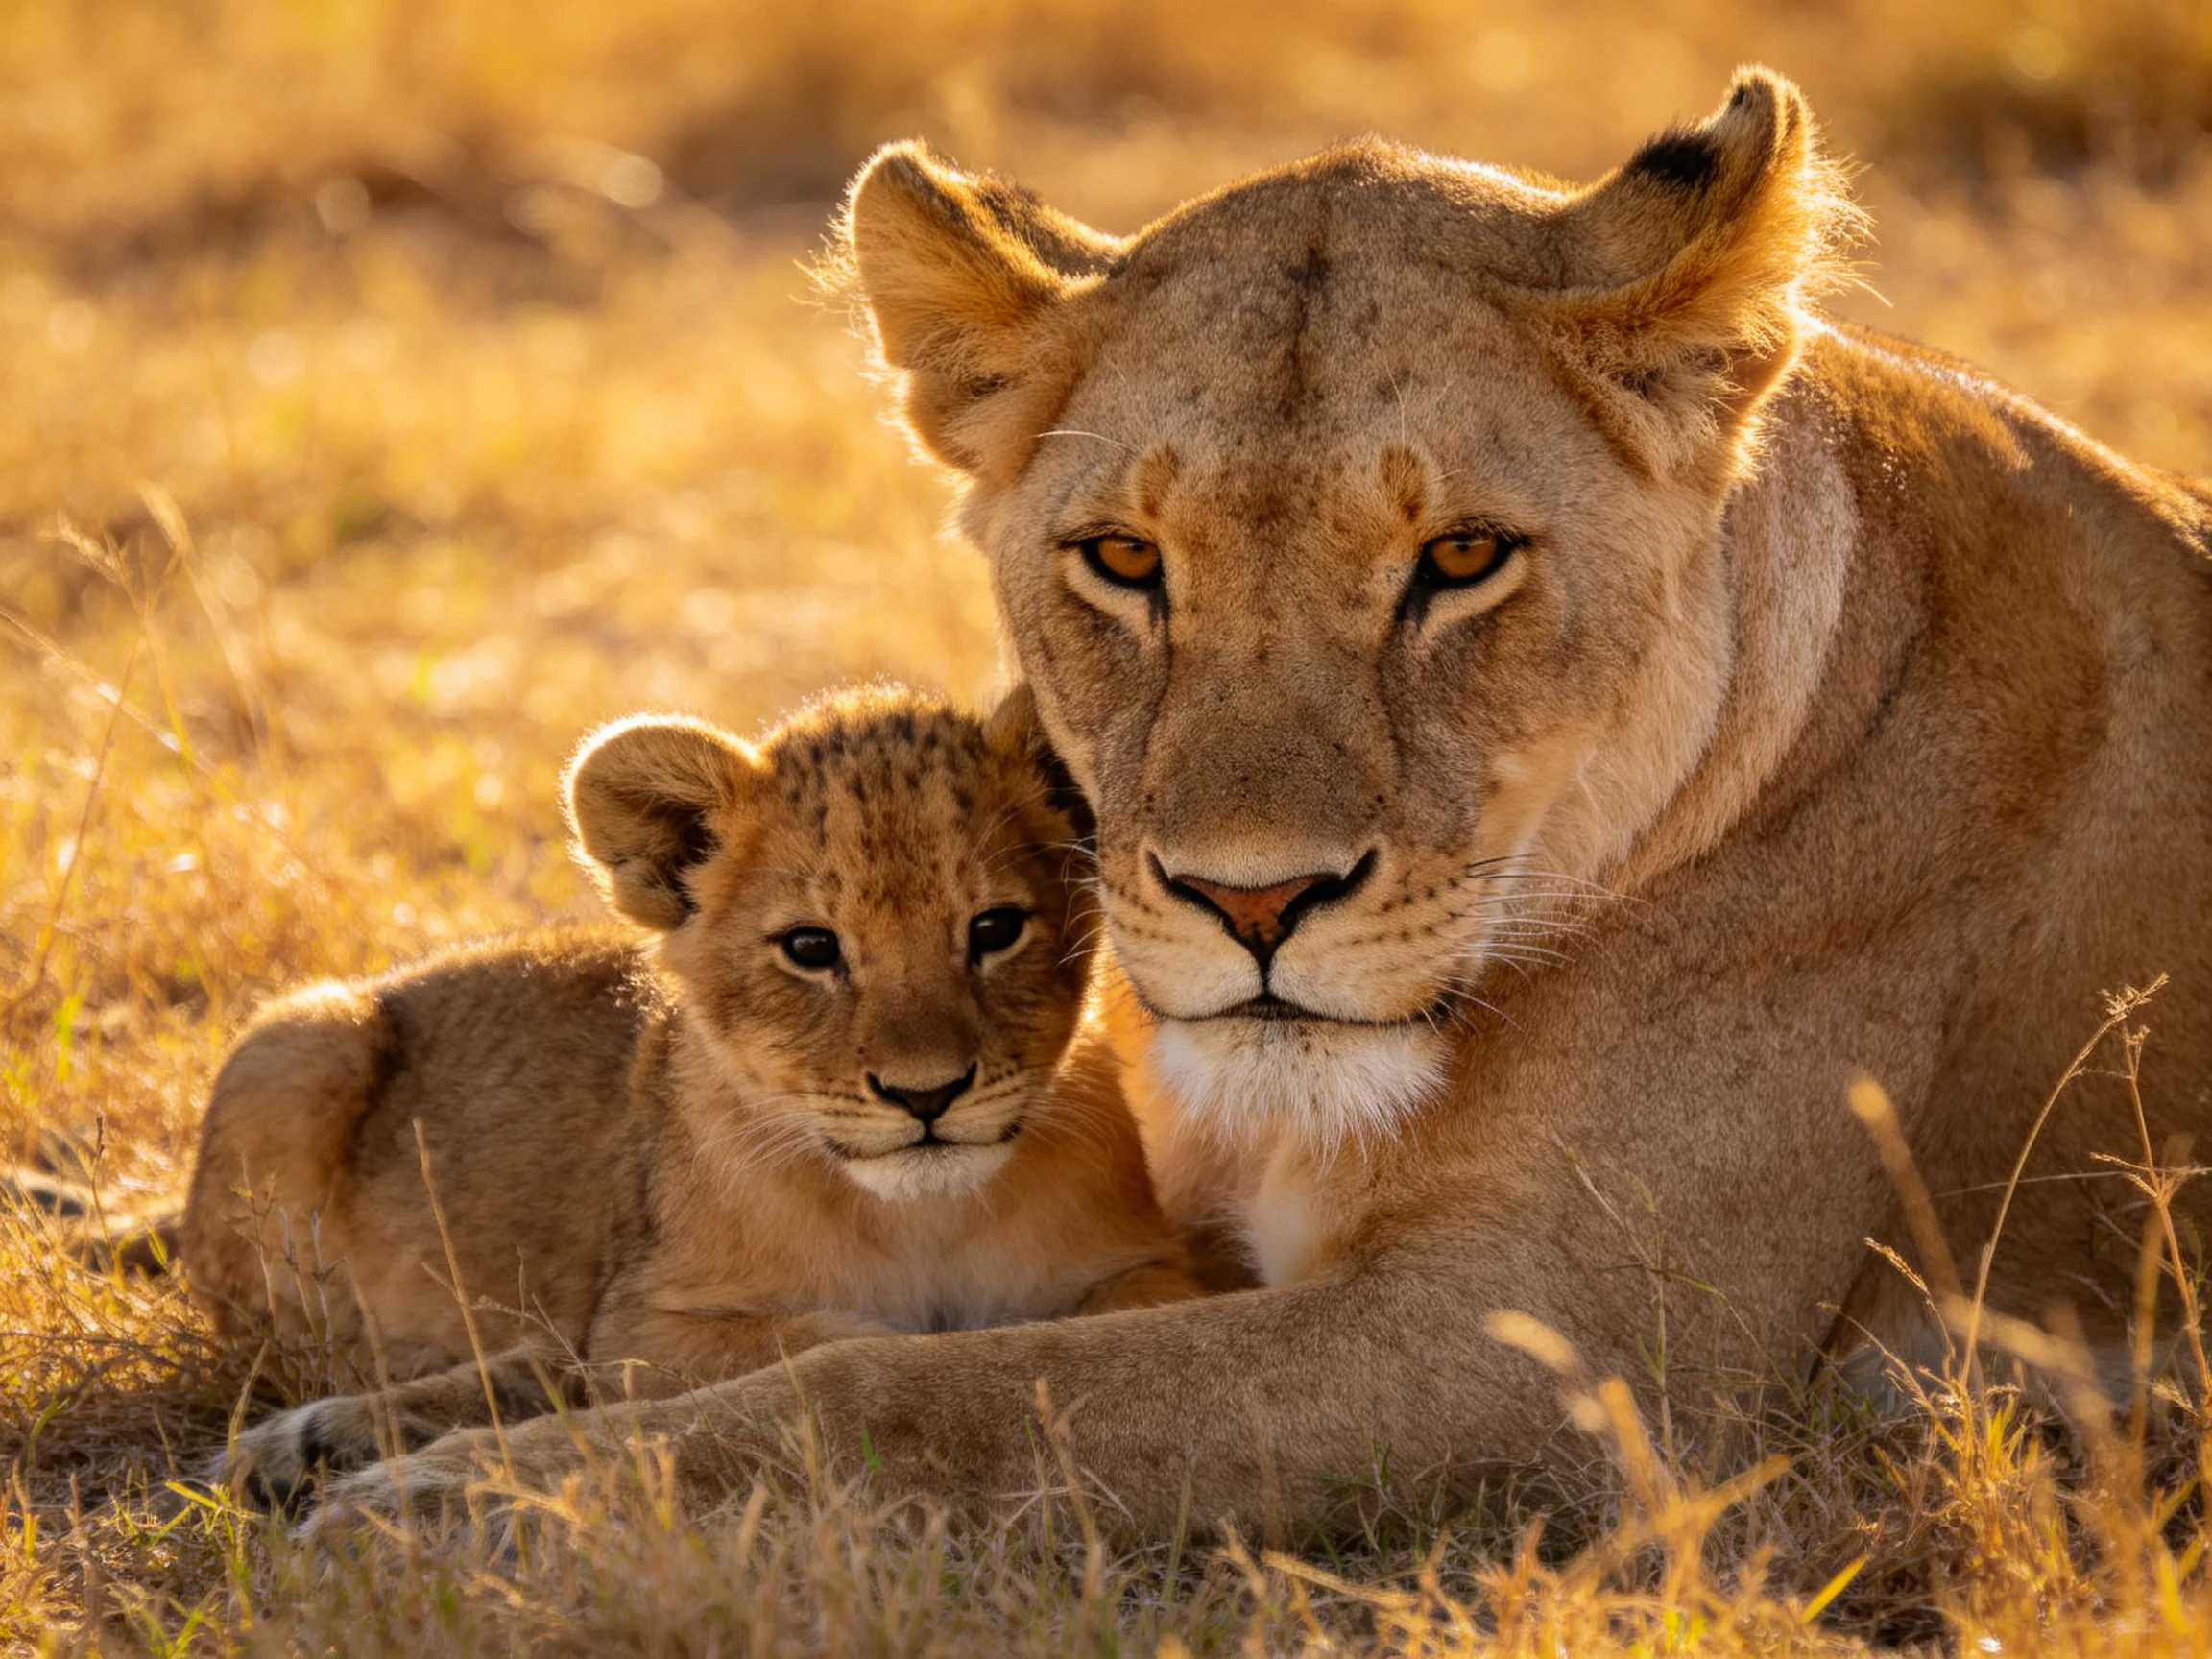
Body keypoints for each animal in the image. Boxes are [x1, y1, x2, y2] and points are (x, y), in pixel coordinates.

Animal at [183, 686, 1199, 1501]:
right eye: (811, 948)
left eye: (994, 929)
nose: (927, 1094)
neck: (924, 1219)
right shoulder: (647, 1323)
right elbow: (833, 1344)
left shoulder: (1149, 1265)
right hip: (297, 1042)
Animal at [320, 69, 2212, 1537]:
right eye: (1121, 560)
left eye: (1459, 558)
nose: (1250, 904)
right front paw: (356, 1425)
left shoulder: (1566, 1353)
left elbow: (947, 1396)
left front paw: (477, 1501)